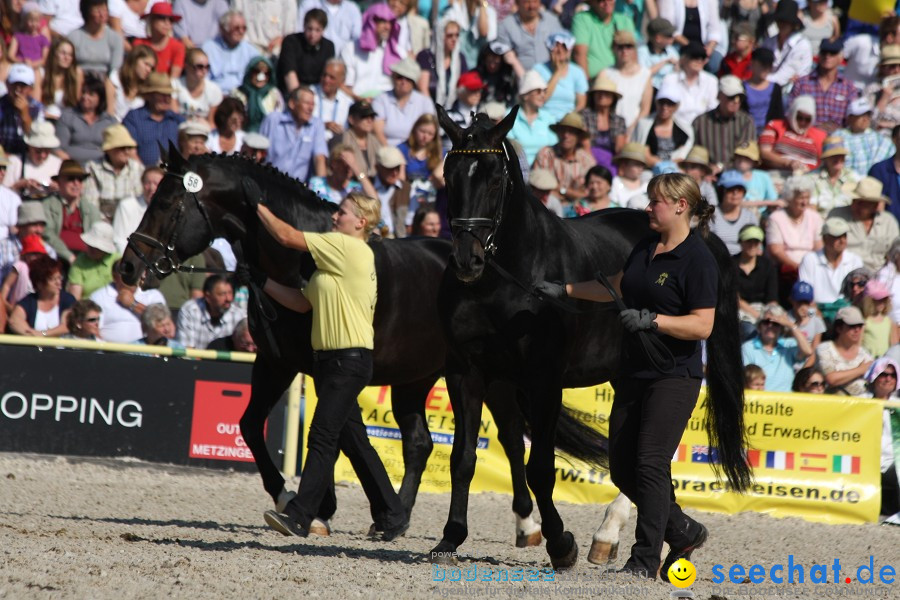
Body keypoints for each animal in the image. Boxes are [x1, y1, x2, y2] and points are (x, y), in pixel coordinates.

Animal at [119, 146, 608, 544]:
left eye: (167, 203)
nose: (128, 265)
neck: (298, 261)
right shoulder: (277, 363)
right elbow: (253, 425)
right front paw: (299, 501)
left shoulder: (329, 366)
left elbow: (345, 435)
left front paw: (327, 509)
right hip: (416, 378)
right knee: (419, 443)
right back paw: (401, 516)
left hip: (494, 379)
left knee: (508, 438)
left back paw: (526, 526)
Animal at [432, 105, 748, 568]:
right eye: (449, 175)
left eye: (493, 179)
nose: (467, 260)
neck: (504, 284)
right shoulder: (466, 374)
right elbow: (463, 458)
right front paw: (450, 537)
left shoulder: (544, 381)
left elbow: (540, 467)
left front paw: (561, 544)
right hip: (623, 376)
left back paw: (613, 534)